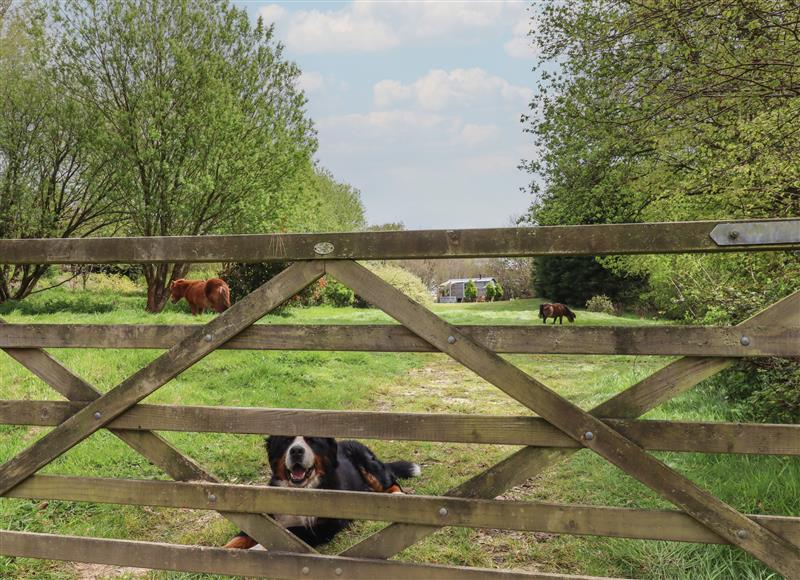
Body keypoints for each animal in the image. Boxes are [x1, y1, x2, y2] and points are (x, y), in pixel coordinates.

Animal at [223, 436, 418, 548]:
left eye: (311, 441)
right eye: (286, 441)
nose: (296, 451)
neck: (299, 491)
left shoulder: (324, 526)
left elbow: (291, 533)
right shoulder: (265, 517)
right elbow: (241, 537)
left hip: (370, 467)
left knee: (391, 483)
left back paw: (397, 496)